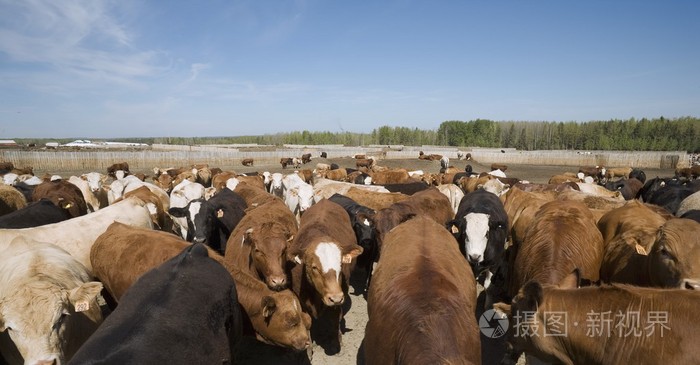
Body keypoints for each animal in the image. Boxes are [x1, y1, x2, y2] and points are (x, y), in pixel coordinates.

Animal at [288, 198, 364, 354]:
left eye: (341, 264)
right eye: (314, 267)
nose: (335, 298)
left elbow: (335, 318)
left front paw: (336, 342)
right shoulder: (301, 299)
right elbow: (306, 320)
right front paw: (309, 348)